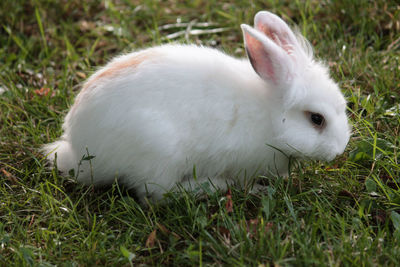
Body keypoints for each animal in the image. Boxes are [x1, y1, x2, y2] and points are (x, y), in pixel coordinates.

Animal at [43, 11, 350, 202]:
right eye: (316, 119)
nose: (339, 149)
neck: (270, 116)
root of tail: (74, 148)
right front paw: (257, 189)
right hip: (159, 155)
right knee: (156, 194)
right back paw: (213, 186)